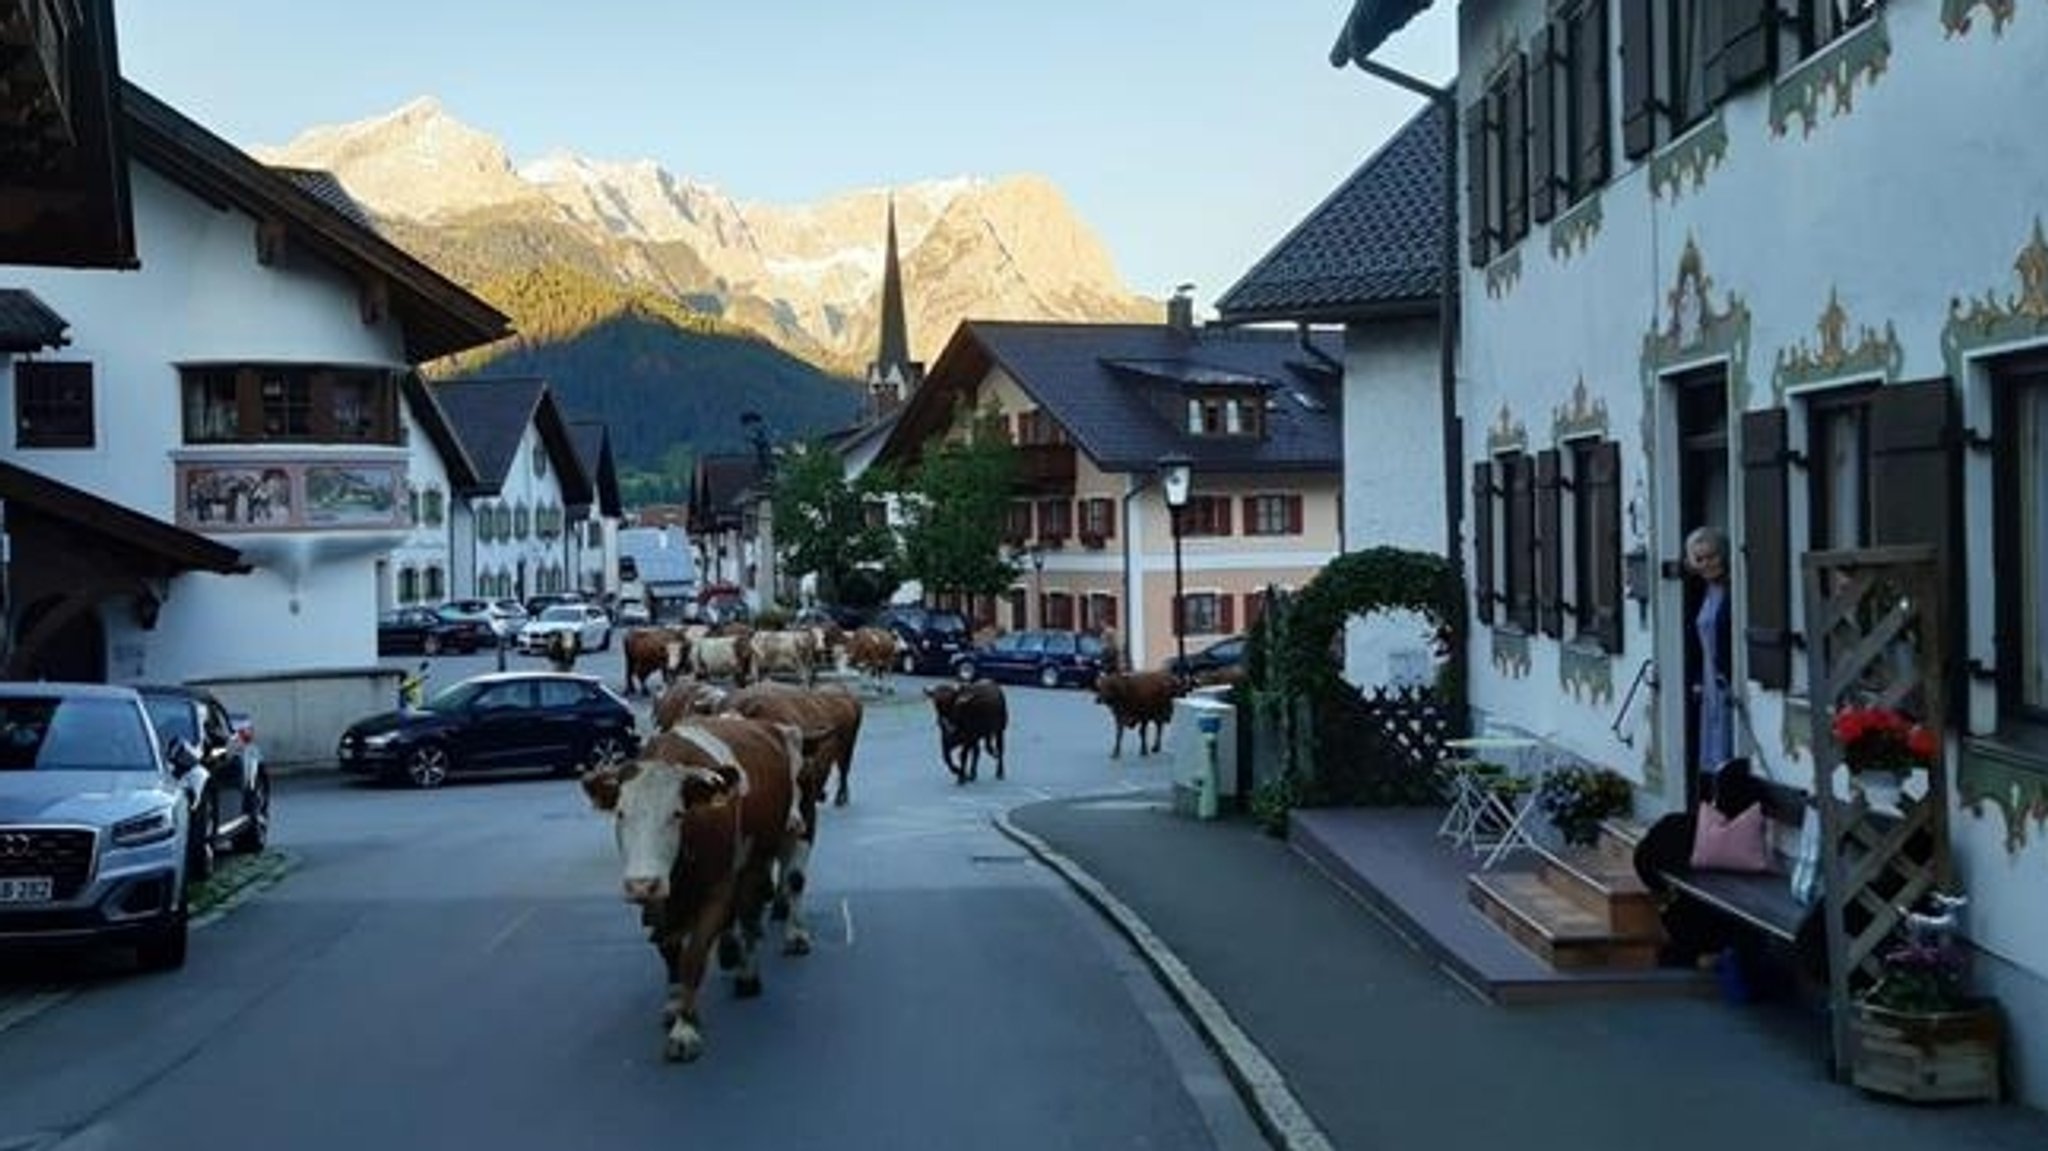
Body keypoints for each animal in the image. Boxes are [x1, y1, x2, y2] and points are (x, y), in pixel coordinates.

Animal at [585, 716, 798, 1056]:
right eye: (620, 814)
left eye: (677, 814)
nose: (641, 883)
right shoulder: (657, 902)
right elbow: (670, 951)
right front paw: (675, 1005)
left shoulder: (718, 892)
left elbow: (693, 958)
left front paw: (684, 1029)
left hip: (757, 860)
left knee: (749, 915)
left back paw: (747, 974)